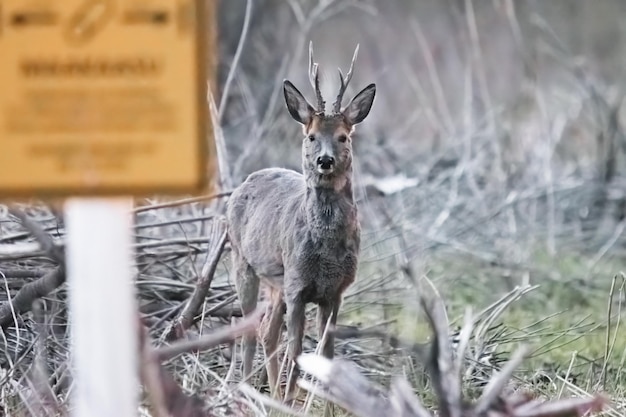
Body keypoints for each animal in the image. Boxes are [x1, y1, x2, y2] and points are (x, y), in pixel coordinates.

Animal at [227, 43, 376, 400]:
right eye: (310, 136)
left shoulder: (335, 292)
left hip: (276, 283)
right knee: (251, 331)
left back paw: (268, 395)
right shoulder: (297, 286)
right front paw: (290, 402)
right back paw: (247, 394)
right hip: (243, 263)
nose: (325, 161)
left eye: (343, 137)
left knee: (266, 331)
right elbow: (295, 353)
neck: (326, 250)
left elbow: (327, 356)